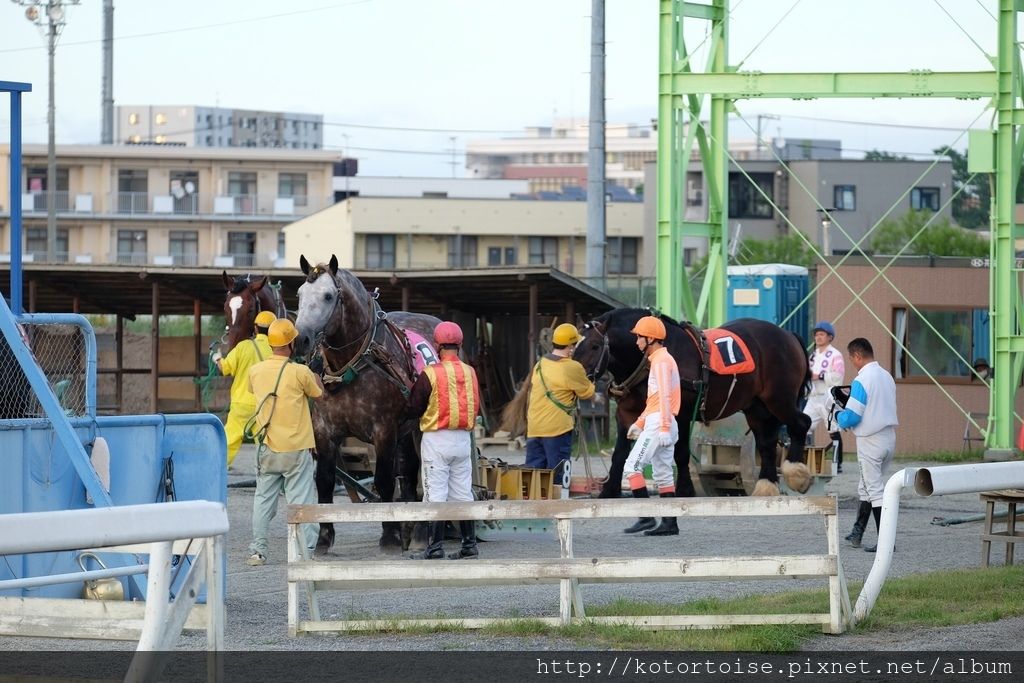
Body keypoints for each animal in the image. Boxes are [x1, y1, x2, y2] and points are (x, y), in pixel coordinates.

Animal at [294, 255, 442, 557]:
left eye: (328, 296)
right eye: (300, 295)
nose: (301, 338)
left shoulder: (383, 431)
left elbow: (384, 480)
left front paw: (390, 537)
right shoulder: (324, 431)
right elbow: (325, 480)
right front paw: (324, 538)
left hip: (421, 427)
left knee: (422, 475)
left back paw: (420, 534)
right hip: (405, 431)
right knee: (408, 473)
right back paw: (409, 528)